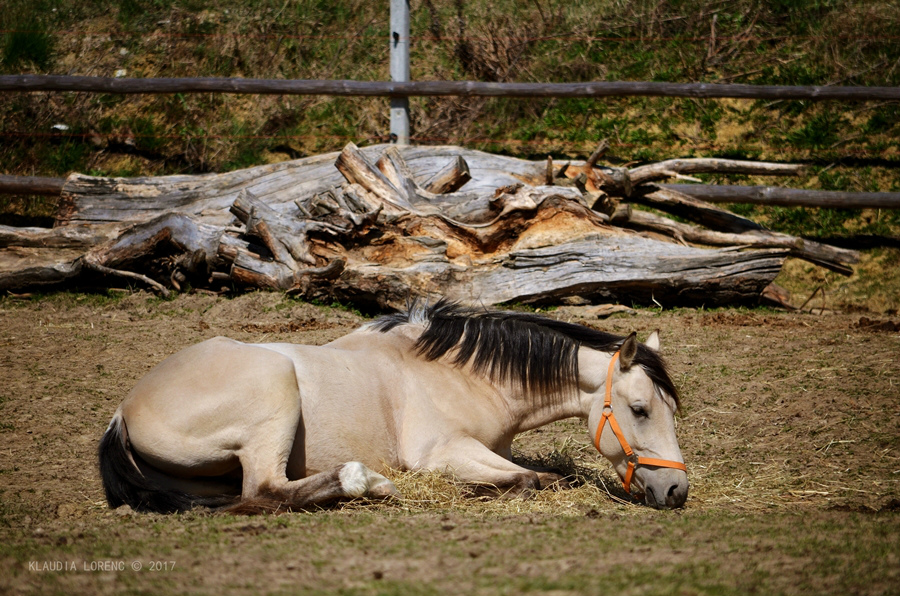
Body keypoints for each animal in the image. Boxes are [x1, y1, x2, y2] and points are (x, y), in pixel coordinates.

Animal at [100, 300, 688, 516]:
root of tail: (123, 412)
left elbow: (544, 475)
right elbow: (527, 480)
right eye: (640, 409)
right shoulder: (442, 451)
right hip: (275, 389)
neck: (458, 373)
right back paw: (370, 483)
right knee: (262, 492)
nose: (677, 491)